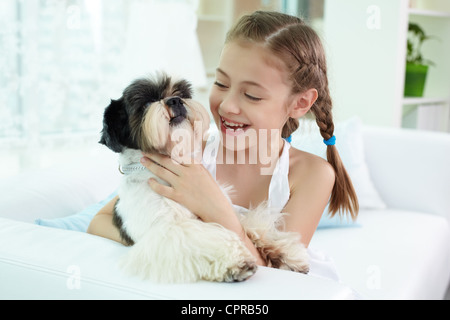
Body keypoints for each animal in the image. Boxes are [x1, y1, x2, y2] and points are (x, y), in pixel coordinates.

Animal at [98, 73, 310, 282]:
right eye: (146, 103)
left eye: (181, 93)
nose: (175, 100)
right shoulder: (168, 231)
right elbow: (204, 239)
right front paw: (235, 261)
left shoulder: (219, 209)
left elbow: (248, 223)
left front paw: (283, 251)